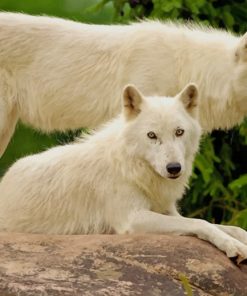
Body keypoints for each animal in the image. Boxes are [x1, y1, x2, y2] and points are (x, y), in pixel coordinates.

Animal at [0, 83, 247, 262]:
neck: (132, 166)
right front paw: (232, 246)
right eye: (151, 135)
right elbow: (200, 223)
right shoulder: (132, 219)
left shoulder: (170, 212)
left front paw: (238, 239)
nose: (174, 168)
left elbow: (229, 227)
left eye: (179, 132)